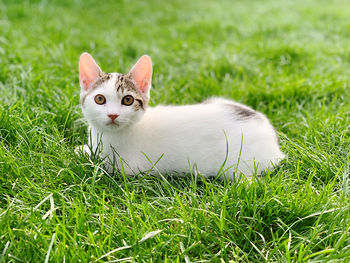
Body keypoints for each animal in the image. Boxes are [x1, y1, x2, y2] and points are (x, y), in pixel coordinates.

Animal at [76, 52, 284, 179]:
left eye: (127, 100)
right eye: (100, 99)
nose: (112, 115)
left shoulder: (125, 168)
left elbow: (98, 164)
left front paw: (82, 151)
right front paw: (84, 148)